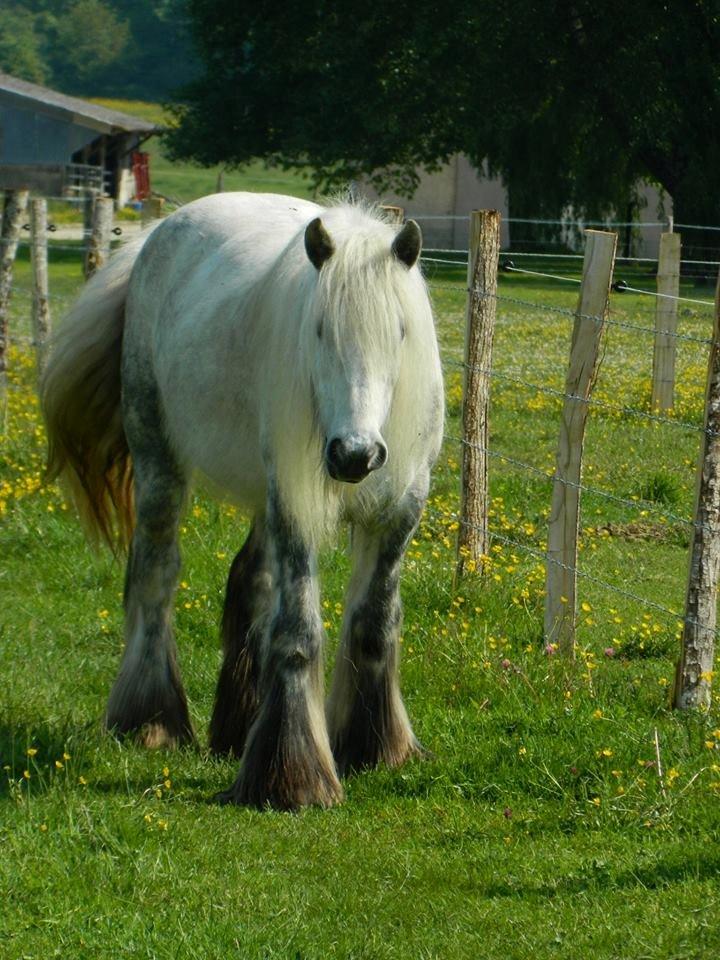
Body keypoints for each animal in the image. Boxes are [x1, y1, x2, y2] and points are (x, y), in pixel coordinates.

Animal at [42, 191, 444, 808]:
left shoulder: (399, 511)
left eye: (399, 332)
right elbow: (299, 632)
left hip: (261, 497)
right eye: (319, 330)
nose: (354, 456)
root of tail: (158, 232)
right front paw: (294, 778)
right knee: (155, 578)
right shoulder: (295, 507)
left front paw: (373, 748)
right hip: (160, 465)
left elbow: (374, 624)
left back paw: (237, 726)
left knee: (250, 581)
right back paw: (151, 721)